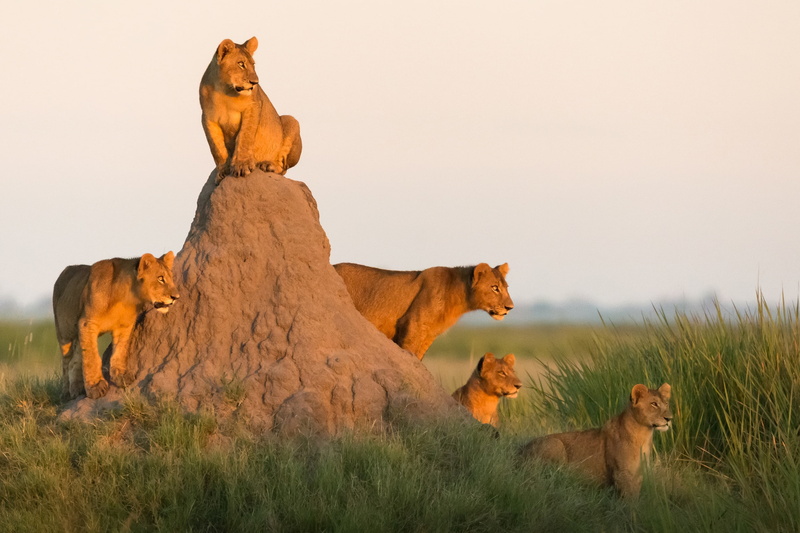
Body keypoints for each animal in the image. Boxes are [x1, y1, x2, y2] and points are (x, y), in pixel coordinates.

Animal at [52, 252, 179, 400]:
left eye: (171, 278)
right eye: (160, 279)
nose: (176, 297)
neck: (126, 297)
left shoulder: (124, 326)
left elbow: (120, 351)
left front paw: (121, 376)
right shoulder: (87, 323)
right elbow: (91, 358)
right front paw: (95, 387)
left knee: (75, 360)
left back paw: (76, 389)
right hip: (64, 333)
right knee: (66, 362)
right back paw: (66, 393)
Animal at [200, 36, 302, 184]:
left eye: (253, 65)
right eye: (241, 64)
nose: (255, 83)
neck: (225, 90)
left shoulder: (253, 106)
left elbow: (244, 136)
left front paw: (242, 166)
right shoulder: (207, 118)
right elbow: (216, 147)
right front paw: (222, 171)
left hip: (291, 120)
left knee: (284, 168)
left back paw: (269, 165)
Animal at [520, 383, 673, 499]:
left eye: (666, 404)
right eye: (654, 404)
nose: (669, 418)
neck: (644, 434)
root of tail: (519, 452)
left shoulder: (638, 474)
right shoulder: (622, 474)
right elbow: (630, 503)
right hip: (555, 445)